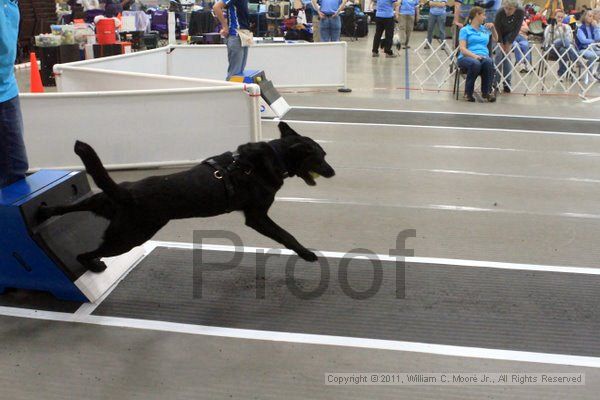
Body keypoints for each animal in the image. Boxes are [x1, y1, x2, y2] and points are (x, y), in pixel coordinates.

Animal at [39, 122, 336, 272]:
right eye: (320, 158)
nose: (333, 172)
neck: (273, 156)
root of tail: (125, 194)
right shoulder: (257, 217)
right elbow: (286, 235)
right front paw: (306, 253)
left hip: (102, 204)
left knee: (67, 207)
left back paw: (44, 213)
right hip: (129, 238)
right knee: (85, 253)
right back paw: (93, 263)